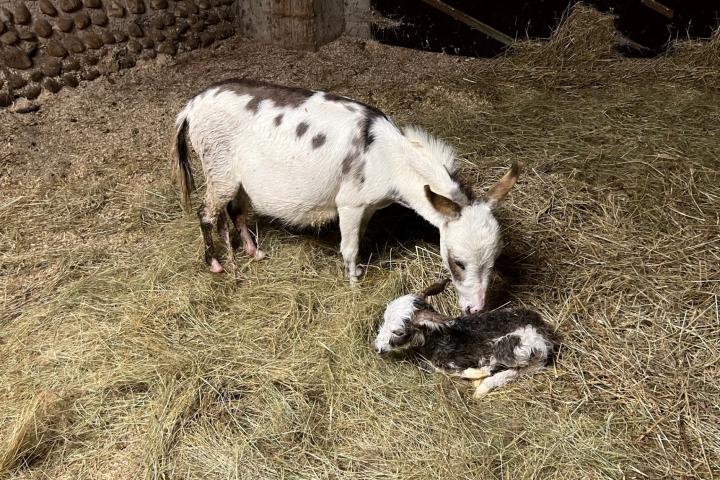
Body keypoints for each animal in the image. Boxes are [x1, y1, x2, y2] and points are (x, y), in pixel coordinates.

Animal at [374, 278, 560, 398]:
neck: (437, 337)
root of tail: (543, 335)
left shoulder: (451, 361)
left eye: (398, 332)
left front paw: (479, 375)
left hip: (510, 346)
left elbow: (456, 372)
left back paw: (483, 386)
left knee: (521, 367)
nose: (377, 348)